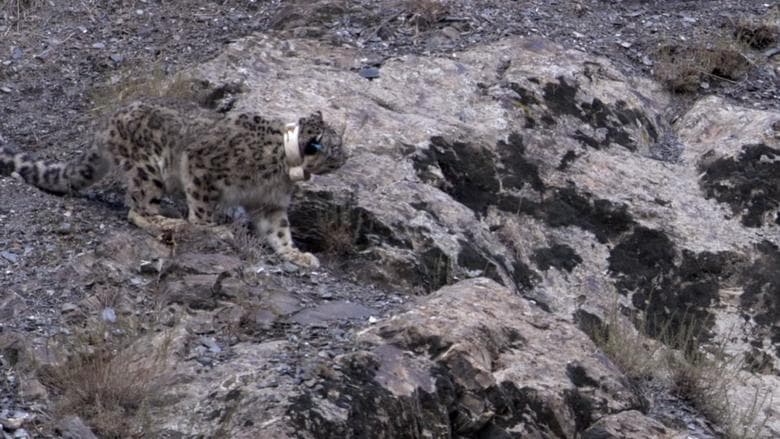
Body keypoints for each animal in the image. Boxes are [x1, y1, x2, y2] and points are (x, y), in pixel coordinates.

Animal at [0, 98, 346, 268]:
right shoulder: (201, 165)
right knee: (138, 209)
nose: (347, 157)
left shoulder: (269, 203)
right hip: (148, 171)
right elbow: (202, 208)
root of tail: (108, 123)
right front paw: (212, 228)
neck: (282, 170)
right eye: (336, 146)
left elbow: (279, 232)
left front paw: (295, 255)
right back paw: (170, 222)